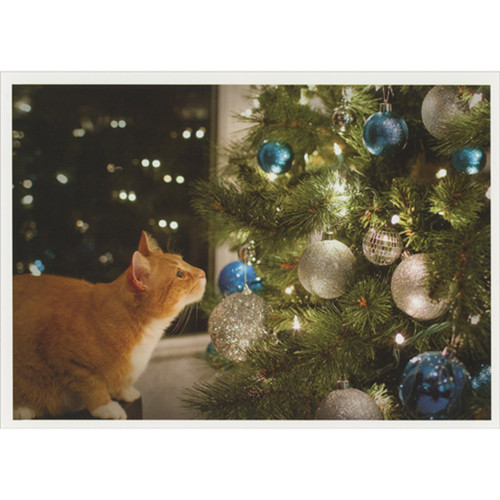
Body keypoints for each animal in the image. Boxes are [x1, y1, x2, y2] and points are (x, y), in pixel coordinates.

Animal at [13, 230, 205, 418]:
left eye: (183, 259)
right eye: (179, 274)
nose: (203, 272)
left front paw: (125, 392)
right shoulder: (69, 362)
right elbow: (92, 386)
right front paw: (106, 407)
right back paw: (22, 410)